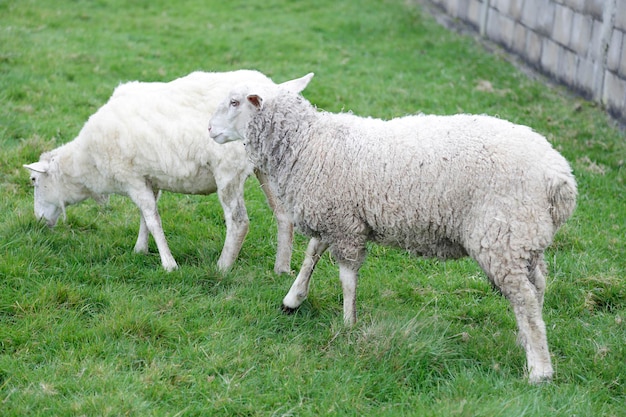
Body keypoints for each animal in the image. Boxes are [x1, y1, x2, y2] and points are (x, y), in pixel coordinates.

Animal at [23, 70, 312, 272]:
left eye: (34, 179)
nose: (38, 220)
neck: (86, 162)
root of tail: (275, 88)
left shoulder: (132, 178)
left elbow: (153, 219)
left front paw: (168, 264)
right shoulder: (149, 177)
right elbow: (145, 216)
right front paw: (140, 249)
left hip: (227, 171)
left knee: (239, 222)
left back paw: (223, 267)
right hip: (266, 167)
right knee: (283, 215)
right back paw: (282, 268)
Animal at [208, 77, 576, 380]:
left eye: (235, 102)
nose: (209, 129)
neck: (308, 144)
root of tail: (560, 178)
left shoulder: (344, 223)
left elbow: (346, 277)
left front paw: (348, 323)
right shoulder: (336, 215)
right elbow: (311, 255)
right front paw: (293, 299)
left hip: (503, 234)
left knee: (524, 298)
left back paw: (539, 370)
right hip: (524, 236)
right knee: (538, 286)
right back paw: (524, 341)